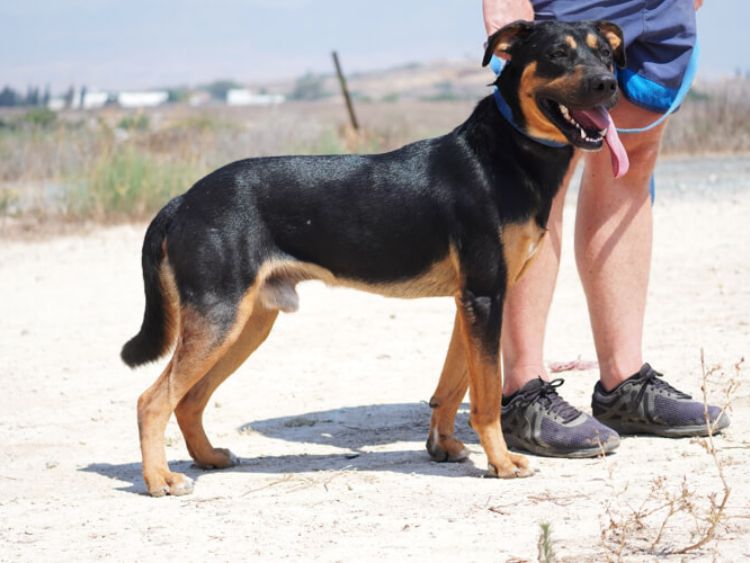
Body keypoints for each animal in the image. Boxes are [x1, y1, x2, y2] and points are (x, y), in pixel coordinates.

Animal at [123, 19, 628, 496]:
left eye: (605, 53)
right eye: (557, 54)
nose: (608, 84)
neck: (502, 153)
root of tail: (183, 200)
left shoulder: (469, 301)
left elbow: (452, 385)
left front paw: (443, 446)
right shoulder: (486, 297)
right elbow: (484, 396)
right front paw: (502, 462)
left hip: (247, 323)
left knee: (189, 399)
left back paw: (208, 458)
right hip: (219, 317)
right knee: (152, 400)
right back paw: (160, 479)